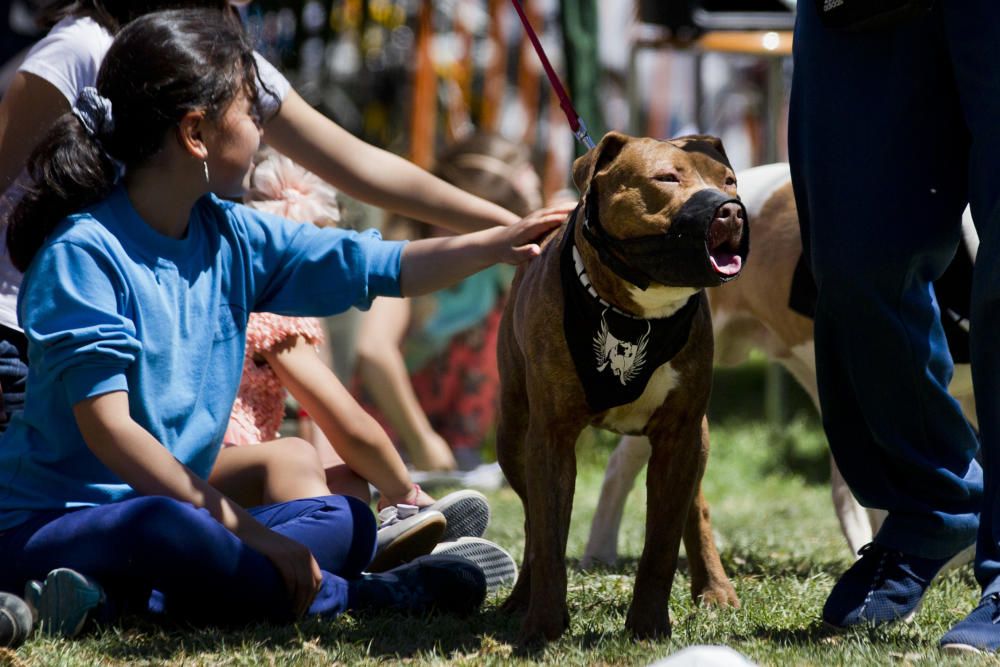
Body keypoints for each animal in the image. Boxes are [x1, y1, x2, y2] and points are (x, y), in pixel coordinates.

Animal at [496, 128, 748, 644]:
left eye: (730, 182)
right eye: (667, 178)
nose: (730, 210)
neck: (636, 315)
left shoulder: (680, 434)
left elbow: (661, 545)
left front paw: (648, 626)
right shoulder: (549, 438)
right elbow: (548, 537)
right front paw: (543, 625)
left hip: (698, 438)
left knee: (695, 508)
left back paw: (715, 590)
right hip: (512, 434)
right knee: (531, 523)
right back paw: (520, 600)